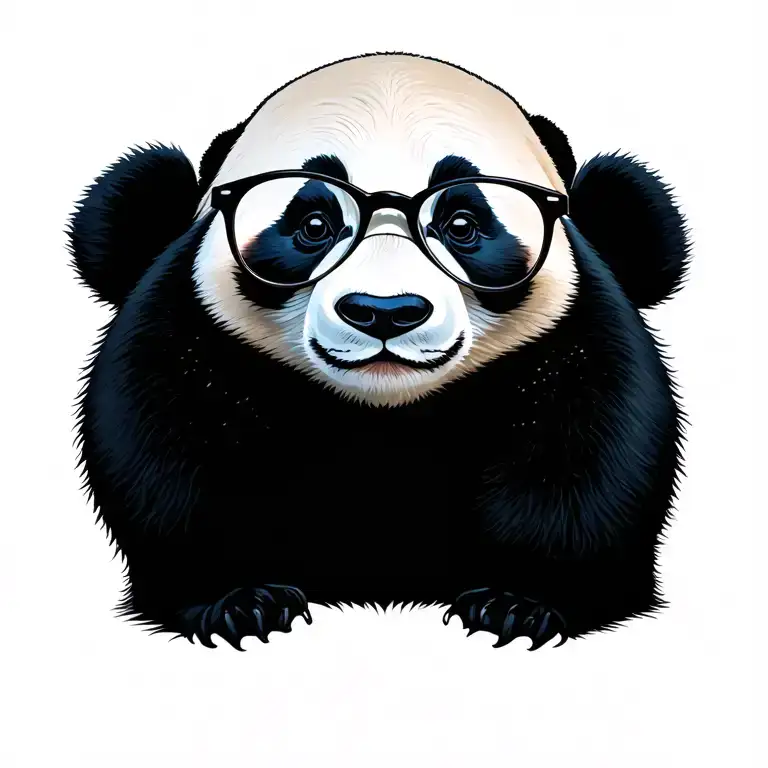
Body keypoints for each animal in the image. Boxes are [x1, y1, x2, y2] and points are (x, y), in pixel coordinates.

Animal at [69, 52, 691, 652]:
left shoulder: (576, 340)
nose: (384, 311)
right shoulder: (190, 332)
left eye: (462, 224)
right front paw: (239, 600)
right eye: (313, 225)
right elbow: (168, 442)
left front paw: (518, 602)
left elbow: (589, 451)